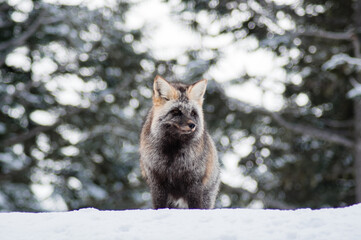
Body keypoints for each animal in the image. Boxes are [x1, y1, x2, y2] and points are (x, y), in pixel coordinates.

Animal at [139, 76, 219, 209]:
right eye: (176, 112)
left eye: (193, 113)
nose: (192, 125)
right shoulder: (157, 181)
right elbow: (159, 205)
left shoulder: (194, 181)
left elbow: (196, 206)